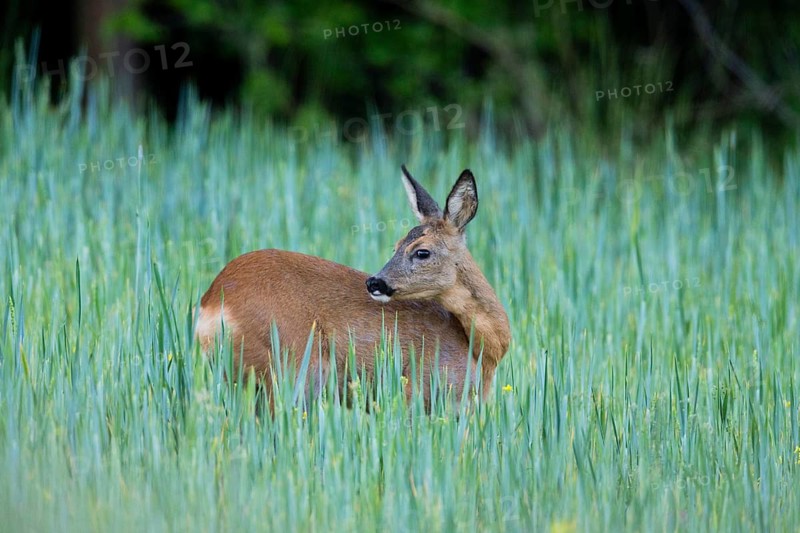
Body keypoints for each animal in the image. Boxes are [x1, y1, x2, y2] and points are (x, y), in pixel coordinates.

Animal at [195, 165, 511, 407]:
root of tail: (212, 303)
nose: (375, 281)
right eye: (397, 245)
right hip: (294, 367)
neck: (482, 351)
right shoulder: (423, 391)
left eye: (422, 251)